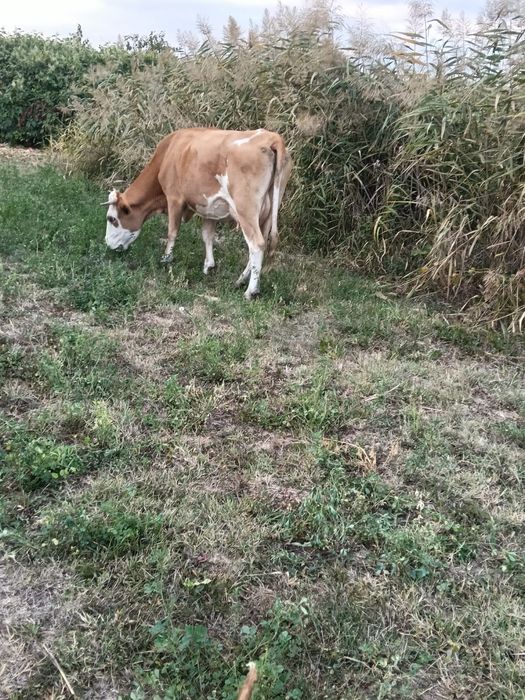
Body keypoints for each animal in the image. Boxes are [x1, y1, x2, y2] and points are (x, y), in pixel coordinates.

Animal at [103, 127, 292, 299]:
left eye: (112, 219)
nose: (108, 244)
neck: (169, 152)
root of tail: (271, 137)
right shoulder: (210, 209)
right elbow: (207, 235)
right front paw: (209, 265)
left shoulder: (174, 197)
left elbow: (172, 231)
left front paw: (166, 258)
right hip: (269, 210)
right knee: (262, 243)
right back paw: (241, 280)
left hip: (246, 209)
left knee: (256, 244)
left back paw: (250, 291)